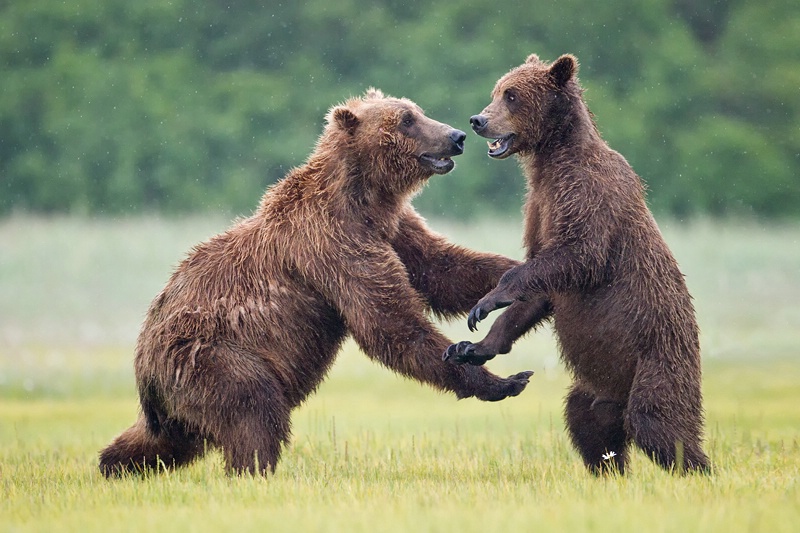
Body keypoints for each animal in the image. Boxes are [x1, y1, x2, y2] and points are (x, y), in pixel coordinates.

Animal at [100, 89, 536, 476]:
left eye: (417, 111)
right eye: (407, 119)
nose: (456, 136)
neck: (364, 198)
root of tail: (141, 363)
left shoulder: (393, 227)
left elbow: (444, 270)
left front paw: (517, 278)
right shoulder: (332, 243)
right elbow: (389, 322)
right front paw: (501, 380)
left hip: (177, 397)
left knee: (164, 440)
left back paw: (111, 465)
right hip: (211, 356)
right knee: (253, 410)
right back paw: (252, 471)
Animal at [444, 55, 712, 474]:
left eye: (512, 95)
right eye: (497, 91)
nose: (478, 120)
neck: (551, 159)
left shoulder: (586, 193)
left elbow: (579, 254)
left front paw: (488, 300)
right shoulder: (538, 206)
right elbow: (541, 287)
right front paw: (471, 346)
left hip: (658, 362)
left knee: (659, 423)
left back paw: (700, 470)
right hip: (594, 388)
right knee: (589, 426)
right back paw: (610, 471)